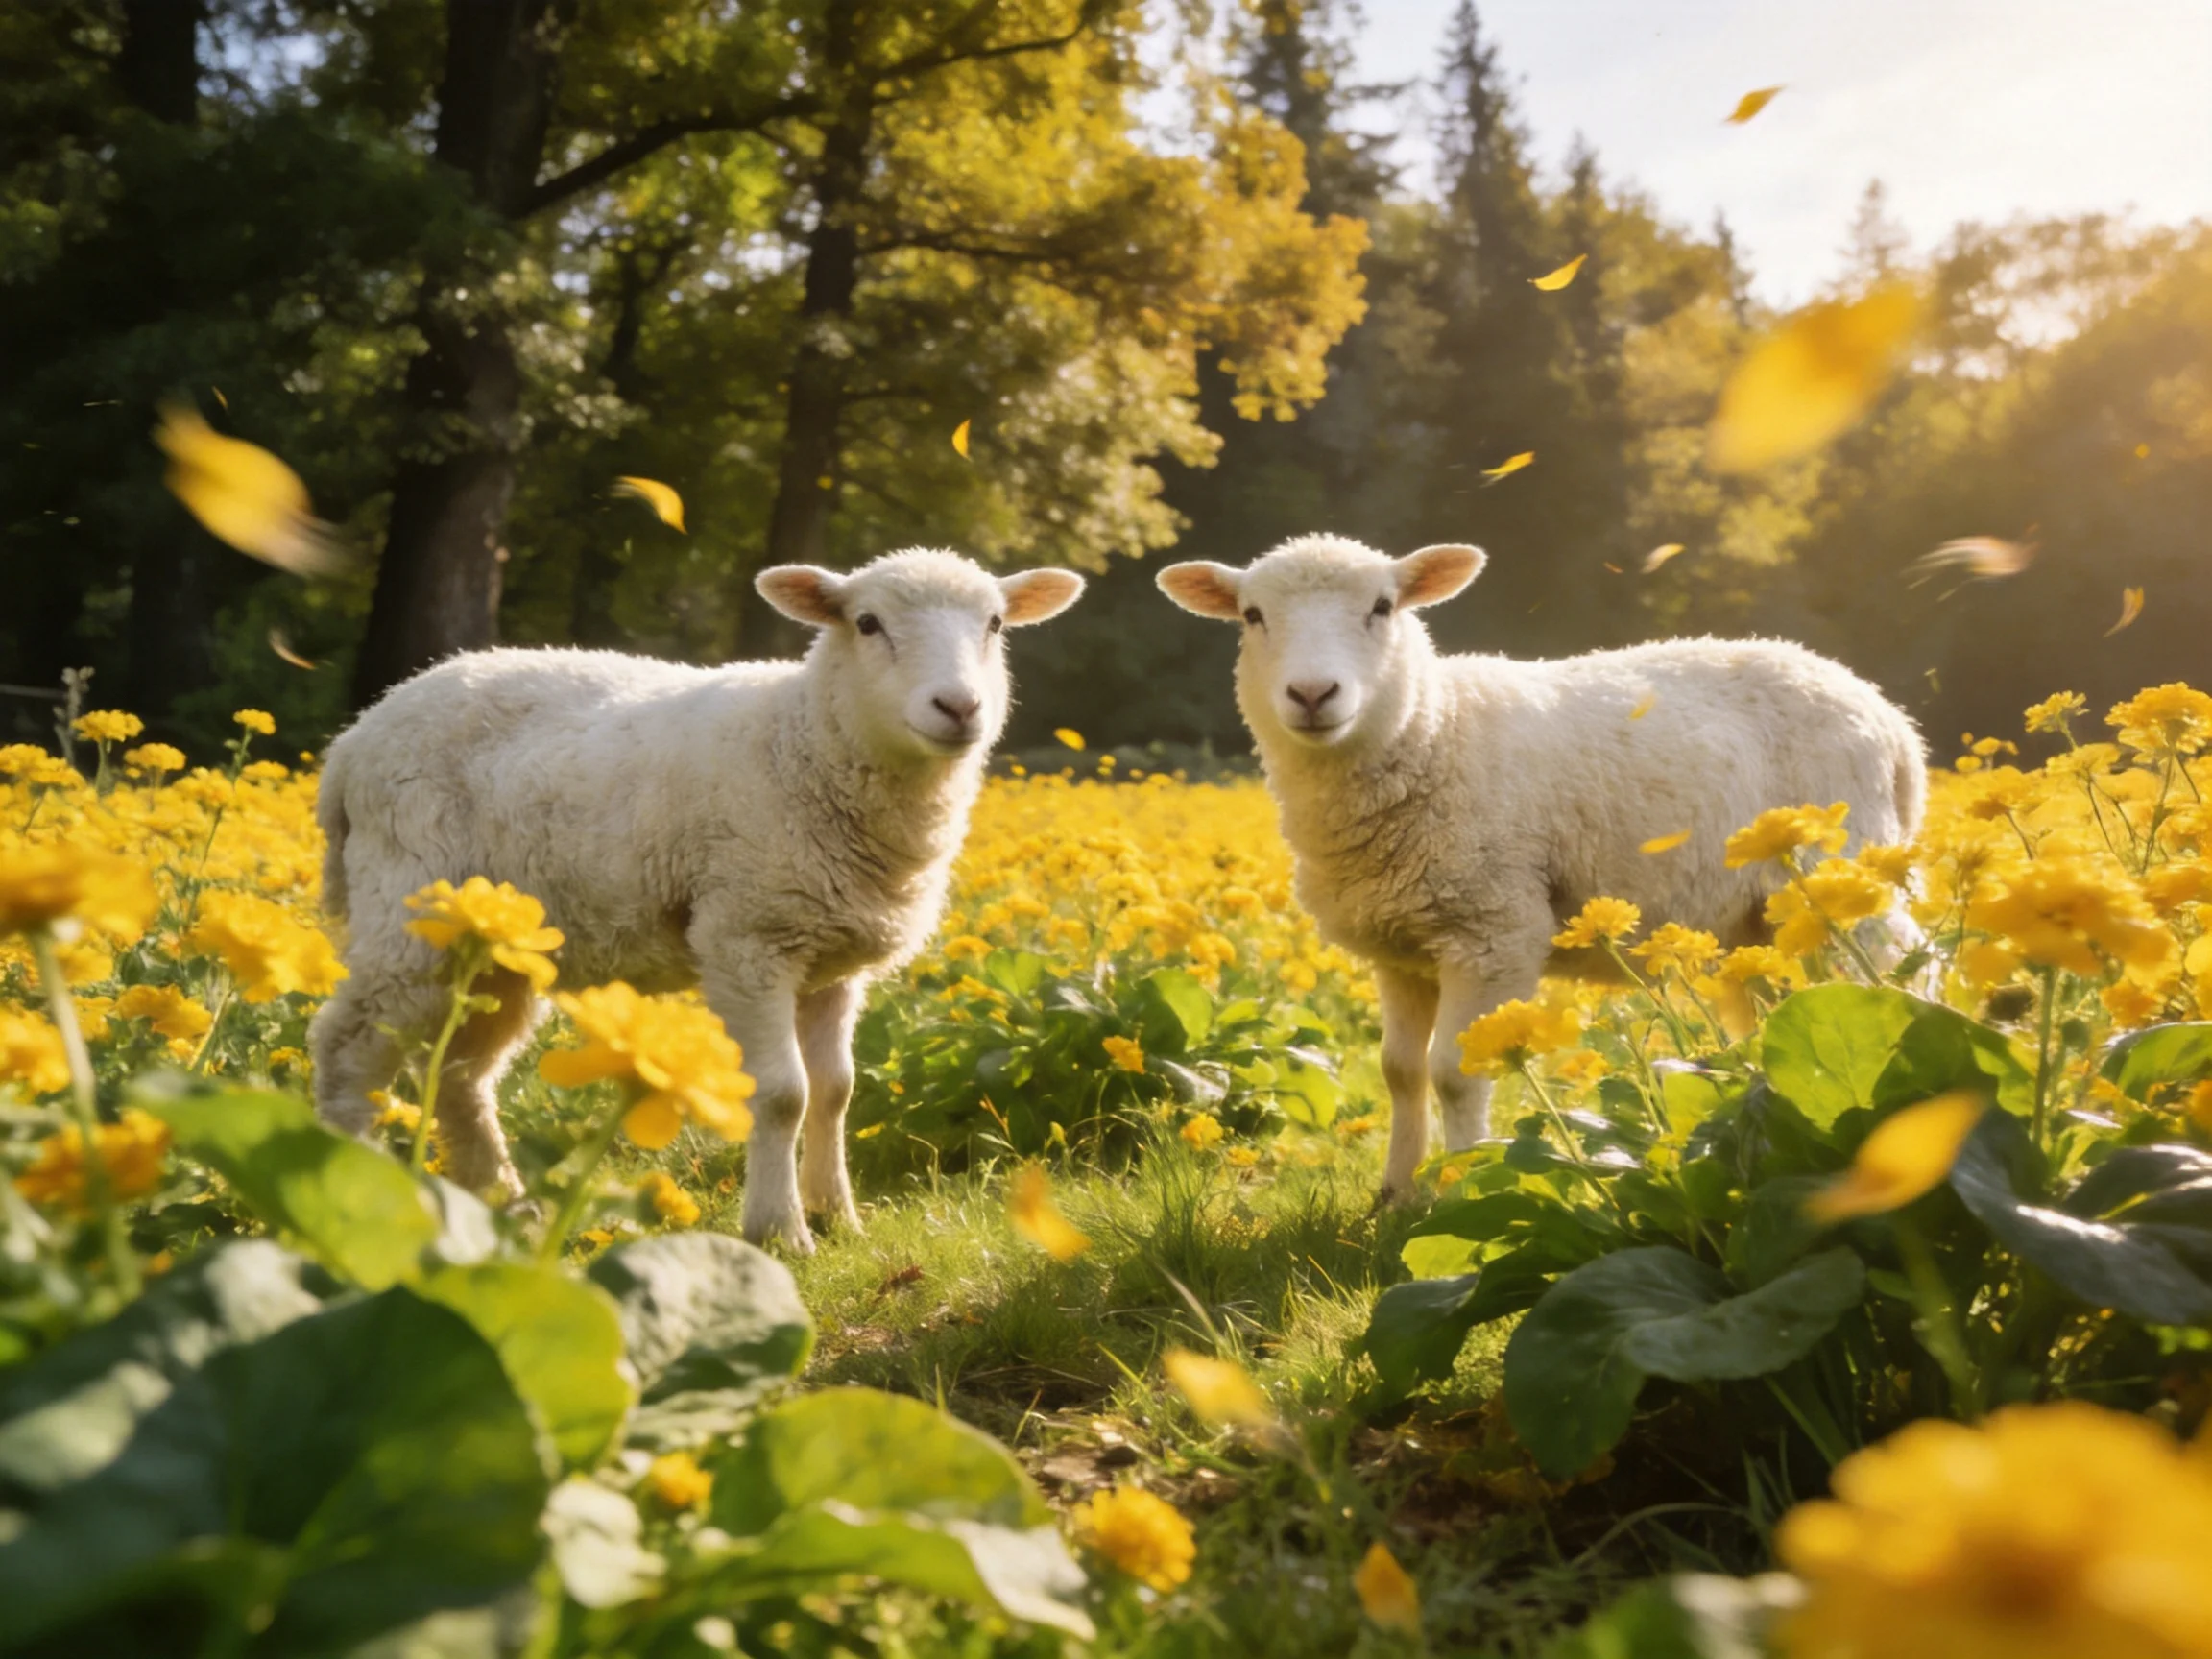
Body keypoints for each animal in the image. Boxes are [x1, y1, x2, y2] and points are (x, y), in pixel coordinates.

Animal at [310, 548, 1085, 1252]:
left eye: (994, 624)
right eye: (867, 623)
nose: (959, 706)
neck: (802, 740)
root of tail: (354, 739)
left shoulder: (832, 958)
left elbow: (835, 1090)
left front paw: (838, 1215)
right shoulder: (748, 936)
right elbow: (783, 1093)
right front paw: (780, 1231)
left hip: (497, 944)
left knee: (459, 1077)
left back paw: (508, 1209)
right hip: (411, 909)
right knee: (348, 1049)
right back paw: (337, 1195)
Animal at [1157, 533, 1926, 1199]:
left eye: (1383, 606)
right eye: (1252, 615)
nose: (1314, 694)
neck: (1433, 729)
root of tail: (1892, 721)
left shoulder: (1493, 930)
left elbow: (1456, 1074)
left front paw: (1463, 1191)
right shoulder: (1400, 948)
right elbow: (1400, 1073)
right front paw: (1396, 1197)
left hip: (1841, 883)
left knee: (1896, 974)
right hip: (1760, 922)